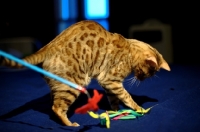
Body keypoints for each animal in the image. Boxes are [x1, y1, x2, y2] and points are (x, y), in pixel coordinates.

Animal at [0, 20, 170, 126]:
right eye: (147, 73)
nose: (141, 79)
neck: (129, 48)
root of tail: (48, 47)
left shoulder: (109, 84)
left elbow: (114, 100)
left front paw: (115, 112)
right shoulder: (110, 80)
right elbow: (127, 97)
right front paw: (138, 109)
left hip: (60, 85)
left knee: (53, 103)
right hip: (73, 85)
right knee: (57, 107)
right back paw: (70, 124)